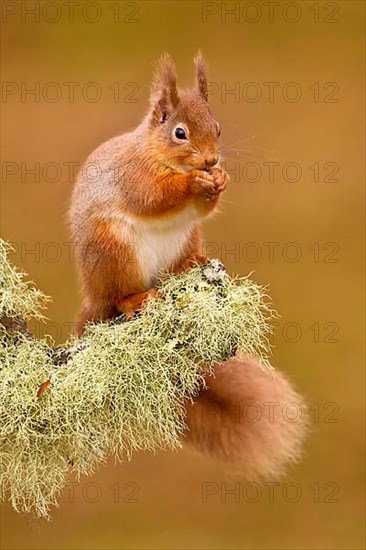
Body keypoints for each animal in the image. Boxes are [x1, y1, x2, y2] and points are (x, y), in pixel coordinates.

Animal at [70, 54, 308, 480]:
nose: (212, 159)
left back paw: (188, 266)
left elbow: (203, 207)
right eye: (179, 133)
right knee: (117, 297)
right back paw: (136, 299)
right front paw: (196, 182)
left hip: (187, 237)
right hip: (114, 252)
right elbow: (155, 197)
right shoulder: (135, 177)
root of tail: (92, 296)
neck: (160, 156)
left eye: (218, 128)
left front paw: (220, 179)